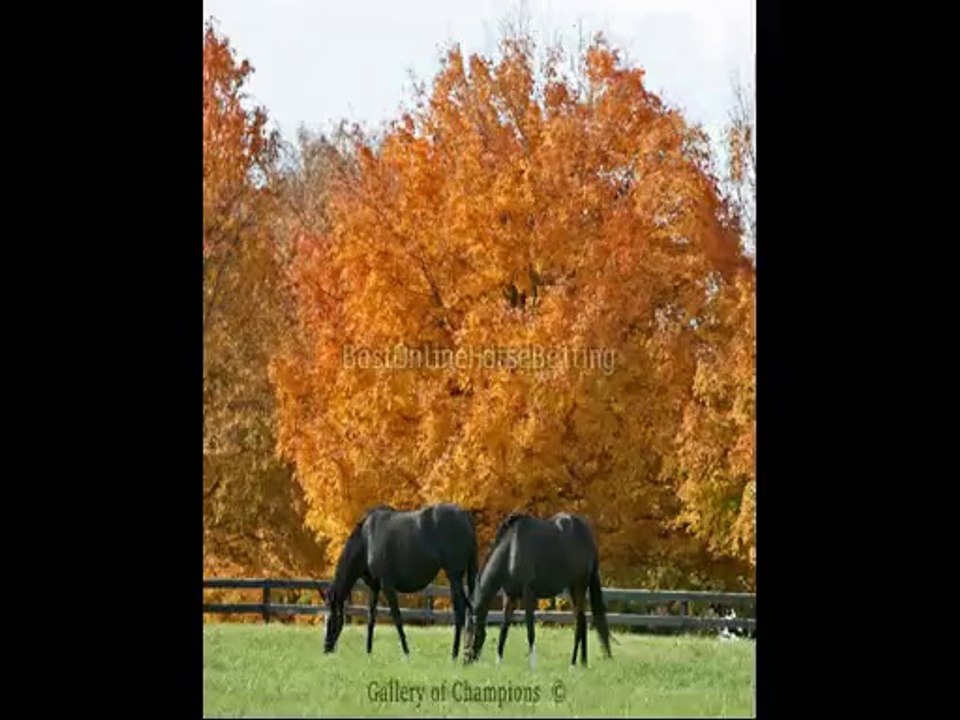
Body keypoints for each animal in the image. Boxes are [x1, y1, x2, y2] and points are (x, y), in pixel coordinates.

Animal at [320, 503, 478, 659]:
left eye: (331, 620)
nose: (326, 648)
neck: (367, 541)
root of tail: (465, 516)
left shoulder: (387, 586)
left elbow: (397, 618)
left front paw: (406, 652)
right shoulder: (374, 588)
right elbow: (371, 618)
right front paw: (368, 652)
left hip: (454, 576)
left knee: (460, 610)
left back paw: (455, 653)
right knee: (469, 608)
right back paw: (467, 651)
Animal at [462, 511, 612, 669]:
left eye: (469, 633)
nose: (465, 661)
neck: (511, 551)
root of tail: (588, 536)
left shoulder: (528, 594)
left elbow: (530, 630)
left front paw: (533, 666)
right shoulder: (510, 596)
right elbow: (504, 629)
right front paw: (499, 663)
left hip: (579, 586)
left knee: (579, 623)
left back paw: (572, 664)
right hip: (572, 588)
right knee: (581, 621)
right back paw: (582, 663)